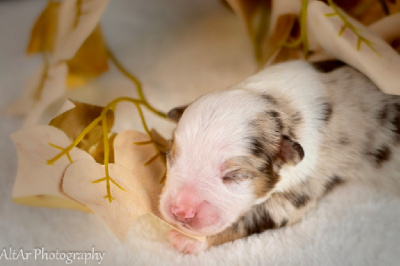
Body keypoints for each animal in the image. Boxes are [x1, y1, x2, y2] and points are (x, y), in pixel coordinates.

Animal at [159, 59, 400, 254]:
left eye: (235, 175)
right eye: (170, 157)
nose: (181, 211)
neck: (281, 105)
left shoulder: (301, 189)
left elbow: (251, 219)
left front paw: (189, 240)